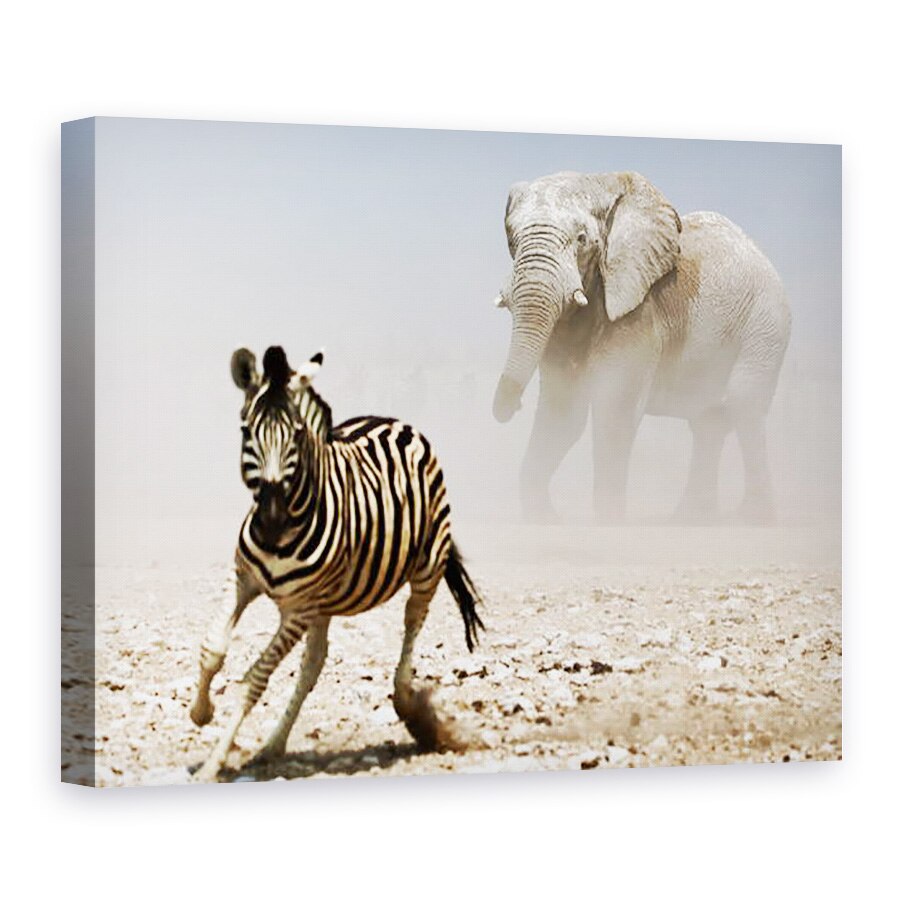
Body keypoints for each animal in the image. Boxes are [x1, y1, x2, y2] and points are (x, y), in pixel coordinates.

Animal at [190, 346, 485, 781]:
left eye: (296, 434)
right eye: (246, 432)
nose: (272, 521)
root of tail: (393, 421)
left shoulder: (297, 609)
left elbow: (254, 679)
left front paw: (213, 763)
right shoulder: (244, 578)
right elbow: (211, 648)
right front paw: (200, 713)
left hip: (426, 567)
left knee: (412, 622)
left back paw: (408, 705)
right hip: (325, 602)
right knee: (314, 662)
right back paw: (273, 745)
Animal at [491, 170, 791, 524]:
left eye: (581, 239)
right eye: (511, 239)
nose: (507, 407)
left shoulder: (640, 313)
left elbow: (613, 414)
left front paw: (608, 525)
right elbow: (564, 414)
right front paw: (546, 522)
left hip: (766, 323)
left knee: (744, 405)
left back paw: (753, 520)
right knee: (709, 423)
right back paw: (690, 520)